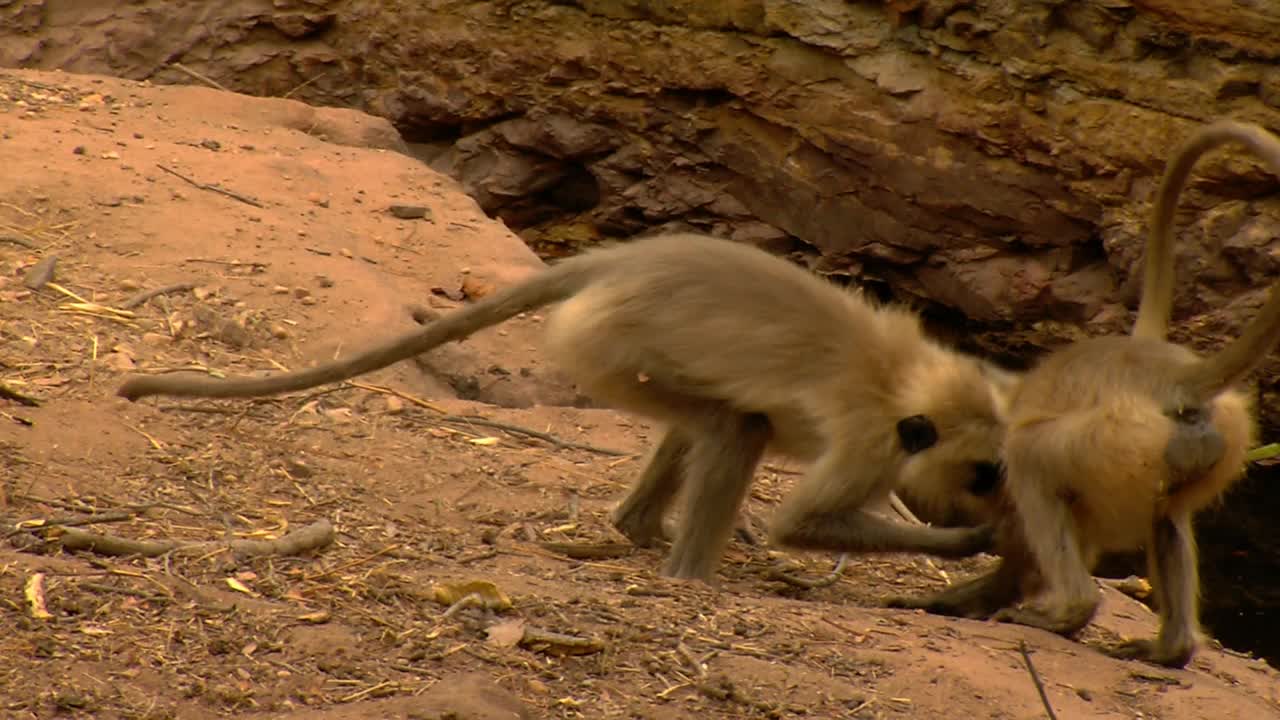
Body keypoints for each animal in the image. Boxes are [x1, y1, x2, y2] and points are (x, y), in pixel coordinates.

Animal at [117, 233, 1008, 579]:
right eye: (984, 475)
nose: (990, 501)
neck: (906, 386)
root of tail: (620, 263)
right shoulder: (869, 440)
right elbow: (803, 523)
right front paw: (976, 543)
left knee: (710, 421)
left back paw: (640, 532)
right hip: (604, 346)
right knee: (735, 424)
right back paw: (688, 574)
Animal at [890, 121, 1280, 666]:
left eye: (980, 478)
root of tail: (1174, 377)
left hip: (1114, 441)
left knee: (1031, 456)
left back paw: (1070, 612)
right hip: (1197, 447)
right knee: (1167, 516)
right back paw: (1170, 649)